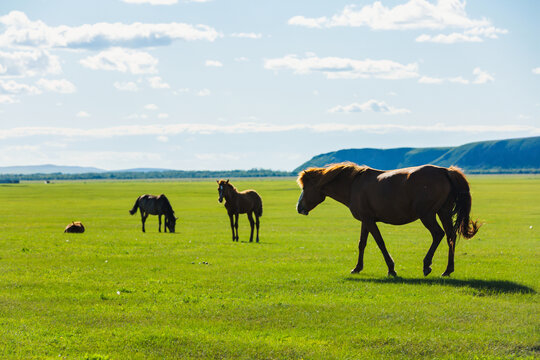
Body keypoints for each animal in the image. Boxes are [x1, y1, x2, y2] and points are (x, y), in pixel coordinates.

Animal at [296, 162, 480, 278]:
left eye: (305, 187)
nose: (299, 207)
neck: (353, 184)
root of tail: (445, 171)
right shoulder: (366, 220)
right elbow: (362, 243)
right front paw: (357, 267)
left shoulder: (369, 221)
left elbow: (380, 242)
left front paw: (391, 269)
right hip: (443, 212)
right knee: (450, 236)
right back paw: (448, 270)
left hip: (427, 215)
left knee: (438, 234)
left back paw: (427, 265)